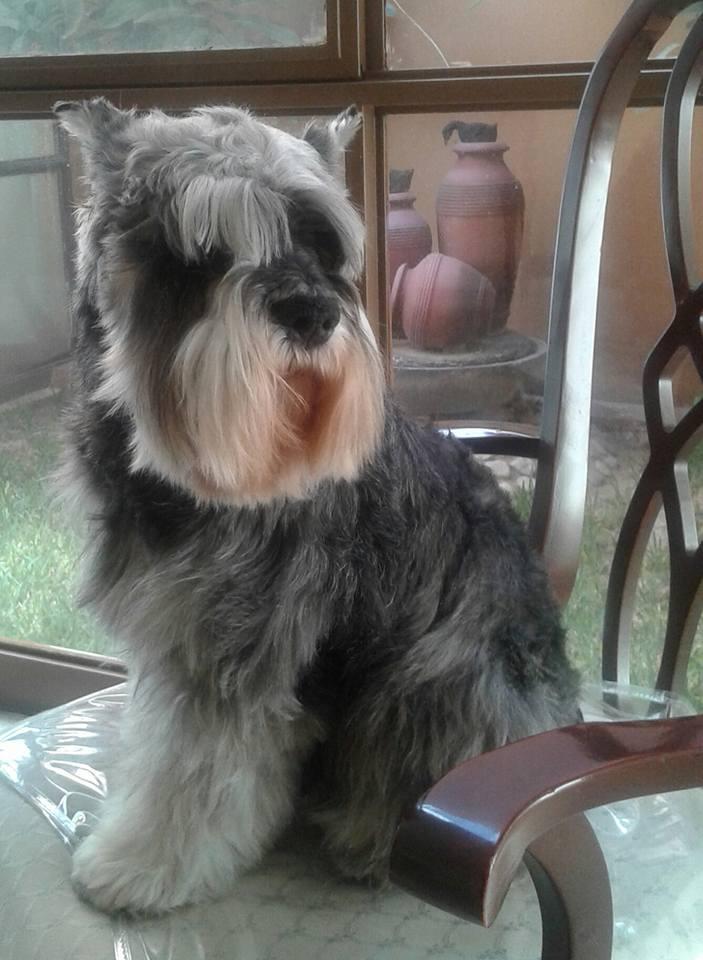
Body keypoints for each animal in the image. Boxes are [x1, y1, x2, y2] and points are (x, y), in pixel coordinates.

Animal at [55, 98, 579, 916]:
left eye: (322, 241)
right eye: (202, 248)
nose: (310, 313)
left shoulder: (233, 647)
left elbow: (191, 766)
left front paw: (142, 864)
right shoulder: (179, 635)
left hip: (436, 677)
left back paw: (366, 837)